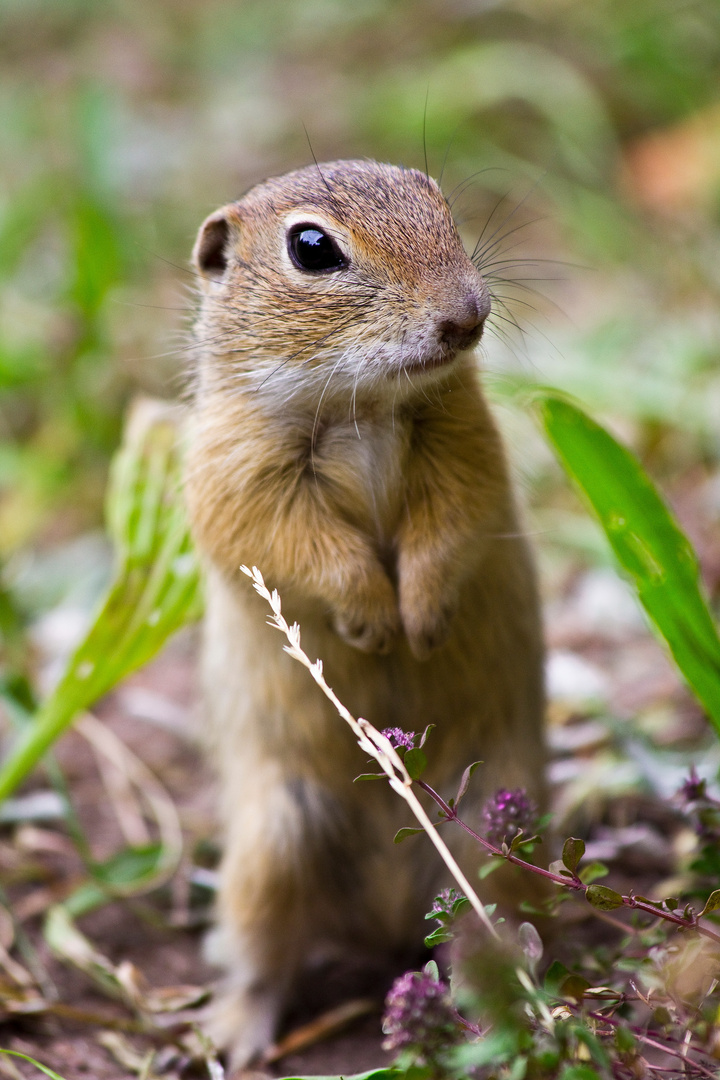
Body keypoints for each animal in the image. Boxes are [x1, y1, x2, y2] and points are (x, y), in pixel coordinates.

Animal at [183, 156, 544, 1067]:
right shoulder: (242, 477)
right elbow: (311, 550)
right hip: (271, 849)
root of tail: (384, 918)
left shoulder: (466, 446)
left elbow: (447, 528)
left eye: (437, 197)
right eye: (312, 248)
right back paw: (235, 1038)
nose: (468, 314)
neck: (360, 405)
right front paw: (376, 622)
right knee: (263, 955)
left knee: (481, 928)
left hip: (493, 834)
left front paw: (422, 619)